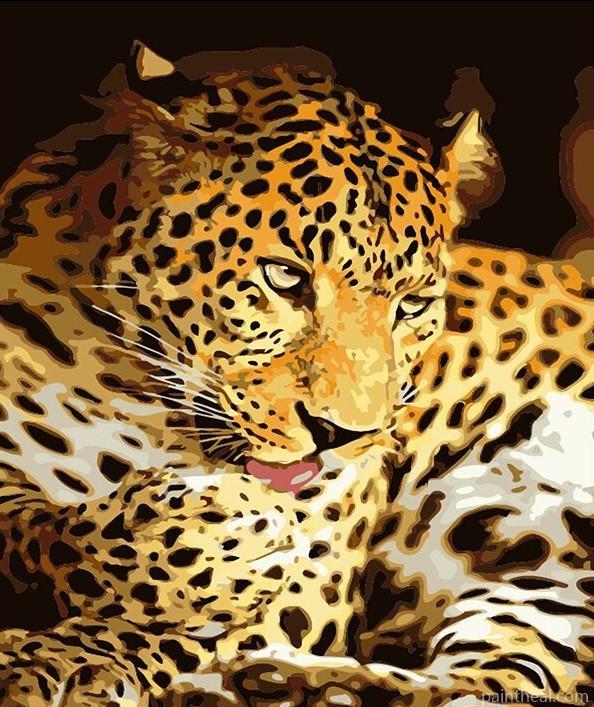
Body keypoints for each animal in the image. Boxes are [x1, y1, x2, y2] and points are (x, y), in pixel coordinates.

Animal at [0, 42, 592, 706]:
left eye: (412, 305)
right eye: (285, 277)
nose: (344, 437)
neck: (128, 385)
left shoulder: (317, 572)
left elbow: (171, 632)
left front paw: (69, 659)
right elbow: (37, 533)